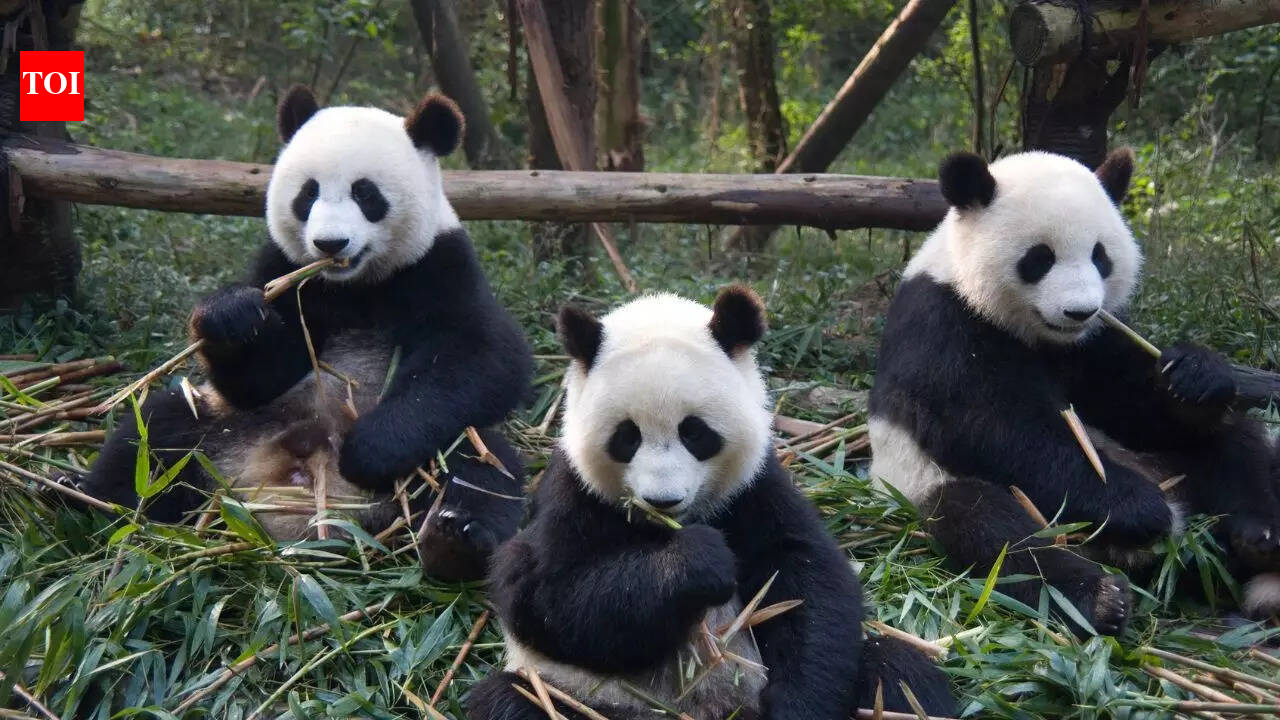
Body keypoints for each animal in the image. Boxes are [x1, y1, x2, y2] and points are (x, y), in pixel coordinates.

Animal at [82, 86, 533, 581]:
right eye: (308, 193)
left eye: (365, 193)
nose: (329, 244)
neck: (353, 285)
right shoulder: (286, 271)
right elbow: (260, 379)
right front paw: (232, 316)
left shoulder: (439, 265)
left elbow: (484, 358)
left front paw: (369, 450)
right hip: (223, 430)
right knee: (153, 434)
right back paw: (77, 500)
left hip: (439, 454)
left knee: (482, 466)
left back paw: (453, 539)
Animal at [466, 287, 955, 720]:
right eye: (627, 437)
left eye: (694, 432)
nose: (663, 500)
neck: (664, 528)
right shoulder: (573, 493)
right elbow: (543, 593)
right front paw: (697, 562)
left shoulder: (754, 487)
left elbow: (807, 581)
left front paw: (798, 707)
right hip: (584, 696)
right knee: (513, 702)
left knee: (899, 671)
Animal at [868, 147, 1280, 634]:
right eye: (1039, 258)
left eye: (1101, 256)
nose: (1079, 311)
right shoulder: (942, 322)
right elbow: (993, 425)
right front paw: (1137, 506)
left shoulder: (1096, 340)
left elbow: (1132, 402)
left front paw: (1194, 375)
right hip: (928, 483)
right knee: (991, 528)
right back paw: (1102, 595)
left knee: (1233, 441)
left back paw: (1256, 535)